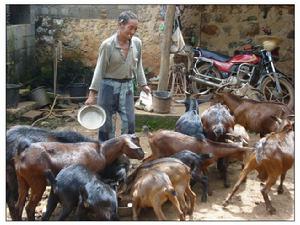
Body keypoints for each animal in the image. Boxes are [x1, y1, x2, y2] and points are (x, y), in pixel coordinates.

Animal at [14, 134, 144, 221]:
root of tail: (21, 154)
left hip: (22, 181)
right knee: (29, 207)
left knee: (19, 206)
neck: (102, 151)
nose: (142, 154)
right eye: (135, 144)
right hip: (37, 182)